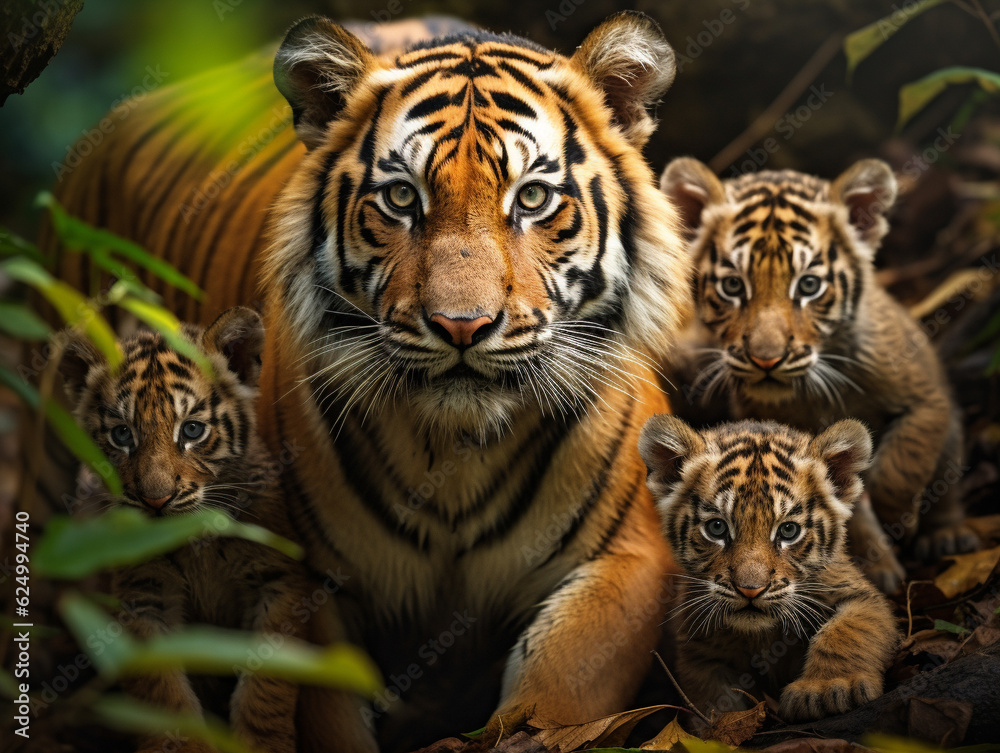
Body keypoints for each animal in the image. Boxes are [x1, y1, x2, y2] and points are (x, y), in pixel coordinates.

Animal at [58, 307, 307, 753]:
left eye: (192, 430)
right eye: (122, 434)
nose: (156, 500)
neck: (195, 540)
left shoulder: (280, 580)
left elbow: (268, 684)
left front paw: (261, 743)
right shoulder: (143, 595)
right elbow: (162, 693)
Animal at [638, 415, 899, 723]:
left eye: (788, 531)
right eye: (717, 527)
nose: (750, 590)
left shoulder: (859, 594)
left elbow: (846, 631)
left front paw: (828, 688)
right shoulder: (696, 641)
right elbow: (710, 690)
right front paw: (719, 723)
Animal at [658, 157, 978, 594]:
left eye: (809, 285)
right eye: (732, 286)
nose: (766, 359)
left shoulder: (926, 401)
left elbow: (900, 468)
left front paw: (897, 517)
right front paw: (877, 565)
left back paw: (946, 536)